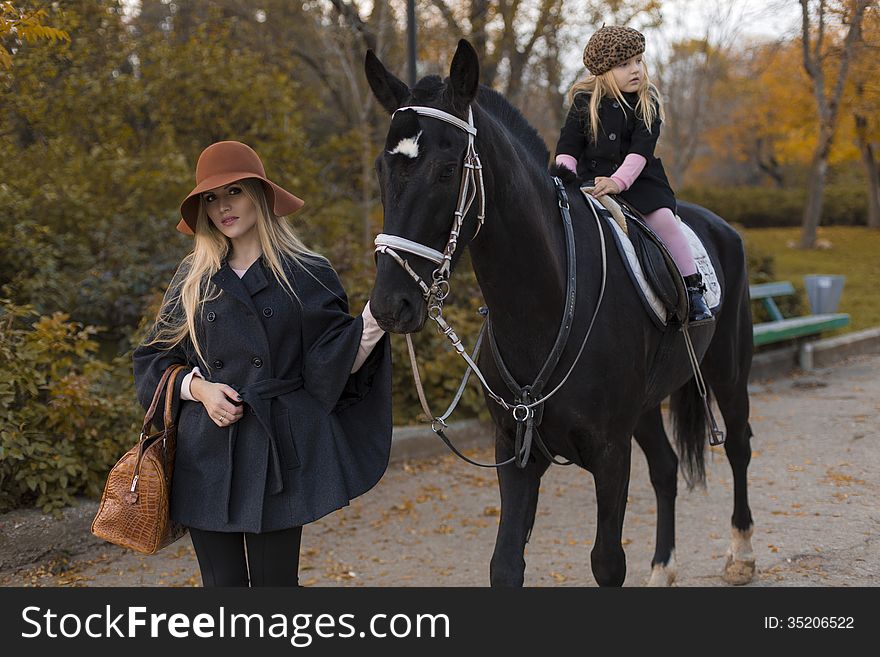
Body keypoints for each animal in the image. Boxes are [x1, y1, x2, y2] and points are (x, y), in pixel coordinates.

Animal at [364, 39, 756, 584]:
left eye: (446, 171)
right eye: (383, 171)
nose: (388, 304)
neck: (544, 307)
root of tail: (721, 226)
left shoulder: (610, 453)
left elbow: (607, 562)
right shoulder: (515, 451)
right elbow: (505, 563)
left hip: (729, 370)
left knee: (738, 445)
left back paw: (741, 553)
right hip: (645, 408)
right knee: (665, 468)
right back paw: (662, 567)